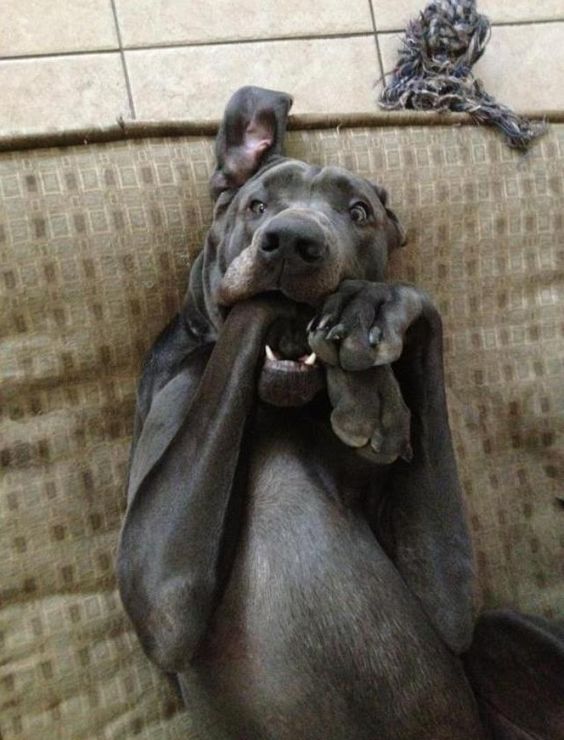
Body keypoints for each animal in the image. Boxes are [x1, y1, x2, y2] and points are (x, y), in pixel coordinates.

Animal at [118, 88, 564, 740]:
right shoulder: (158, 586)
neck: (277, 409)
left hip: (503, 631)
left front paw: (372, 328)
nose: (292, 242)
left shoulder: (451, 598)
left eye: (359, 213)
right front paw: (371, 396)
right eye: (256, 205)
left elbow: (453, 607)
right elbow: (251, 316)